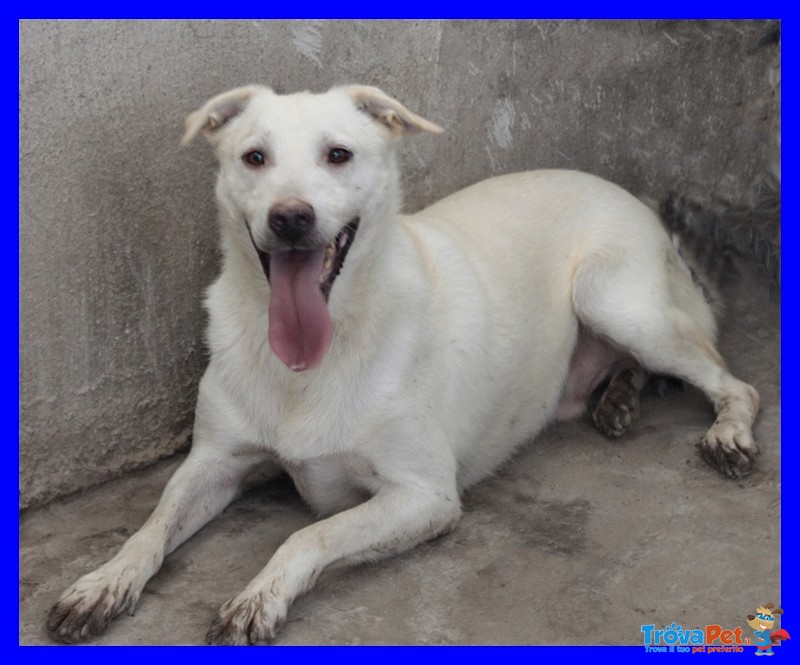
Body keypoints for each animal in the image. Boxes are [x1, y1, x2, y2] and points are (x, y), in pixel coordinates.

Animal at [47, 84, 760, 644]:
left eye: (338, 154)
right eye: (254, 157)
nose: (290, 217)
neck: (319, 354)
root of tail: (627, 195)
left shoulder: (424, 495)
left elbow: (311, 536)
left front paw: (258, 597)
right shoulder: (214, 462)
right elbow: (152, 526)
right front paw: (103, 583)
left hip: (615, 300)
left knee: (736, 383)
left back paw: (725, 433)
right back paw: (619, 398)